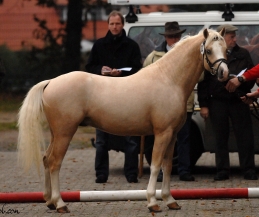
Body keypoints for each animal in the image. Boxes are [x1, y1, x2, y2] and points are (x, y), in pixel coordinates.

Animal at [17, 28, 230, 213]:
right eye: (208, 50)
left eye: (226, 49)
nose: (224, 74)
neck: (169, 79)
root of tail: (51, 82)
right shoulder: (162, 133)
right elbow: (156, 166)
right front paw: (152, 202)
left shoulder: (173, 135)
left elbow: (168, 167)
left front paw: (170, 200)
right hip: (64, 132)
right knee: (54, 163)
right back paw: (60, 204)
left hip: (56, 133)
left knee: (46, 159)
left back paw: (49, 201)